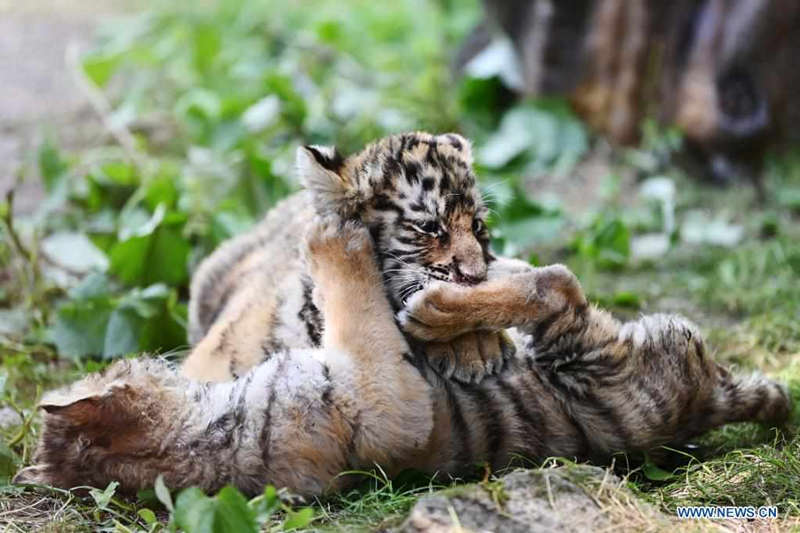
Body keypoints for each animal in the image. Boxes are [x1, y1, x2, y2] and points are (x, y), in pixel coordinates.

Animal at [14, 134, 791, 497]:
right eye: (430, 230)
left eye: (479, 226)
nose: (471, 266)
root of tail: (704, 392)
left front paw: (474, 341)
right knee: (561, 286)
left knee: (552, 283)